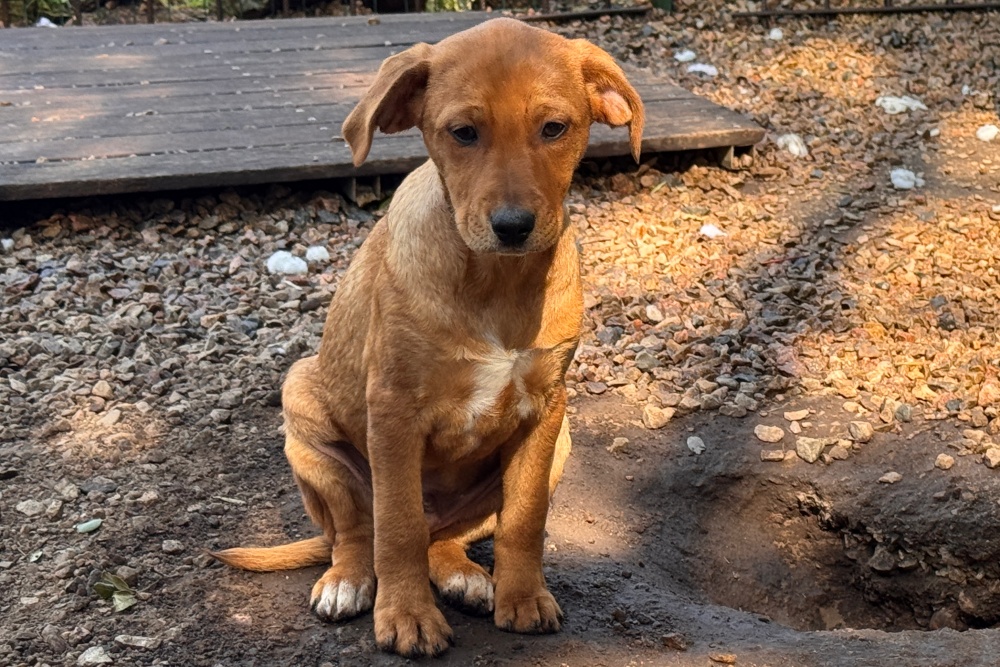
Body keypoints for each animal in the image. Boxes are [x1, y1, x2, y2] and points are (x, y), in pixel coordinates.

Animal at [213, 17, 643, 657]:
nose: (512, 227)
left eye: (554, 128)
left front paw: (523, 598)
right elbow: (396, 526)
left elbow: (525, 519)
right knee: (358, 532)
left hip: (560, 445)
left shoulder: (547, 408)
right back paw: (347, 581)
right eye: (463, 133)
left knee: (443, 536)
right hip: (306, 420)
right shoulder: (393, 408)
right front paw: (407, 616)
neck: (495, 282)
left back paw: (465, 574)